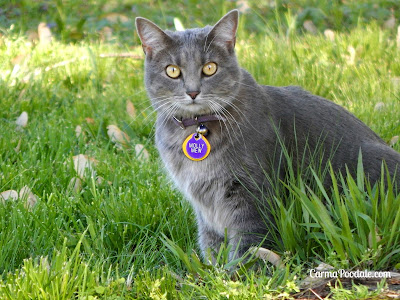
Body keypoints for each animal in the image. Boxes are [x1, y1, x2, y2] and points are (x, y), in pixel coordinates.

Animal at [135, 10, 400, 262]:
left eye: (210, 68)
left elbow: (249, 242)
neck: (197, 128)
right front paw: (214, 269)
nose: (192, 92)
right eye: (172, 71)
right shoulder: (203, 204)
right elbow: (210, 240)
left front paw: (238, 273)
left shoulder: (252, 192)